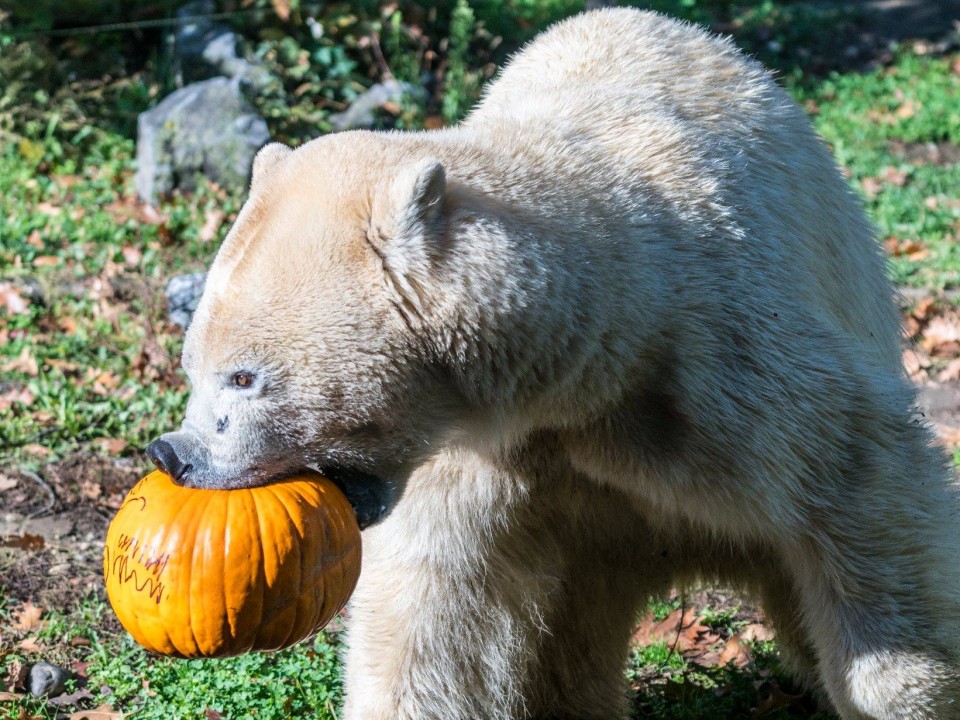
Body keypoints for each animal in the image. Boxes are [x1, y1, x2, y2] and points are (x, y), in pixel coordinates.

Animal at [144, 7, 960, 720]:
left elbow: (868, 499)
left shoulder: (730, 377)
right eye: (190, 364)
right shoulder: (491, 455)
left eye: (244, 377)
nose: (173, 454)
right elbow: (435, 616)